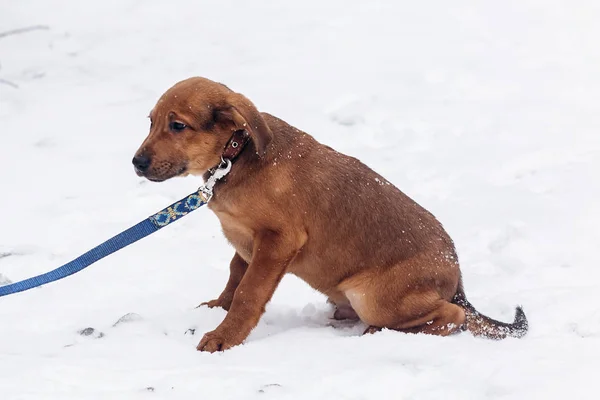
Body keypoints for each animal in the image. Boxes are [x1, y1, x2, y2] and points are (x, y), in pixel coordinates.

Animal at [134, 76, 528, 352]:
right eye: (150, 122)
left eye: (178, 126)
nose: (136, 163)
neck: (236, 154)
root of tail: (456, 280)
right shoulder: (246, 241)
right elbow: (235, 276)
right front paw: (218, 308)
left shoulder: (278, 241)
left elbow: (249, 293)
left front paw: (224, 337)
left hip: (372, 297)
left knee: (452, 317)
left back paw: (378, 331)